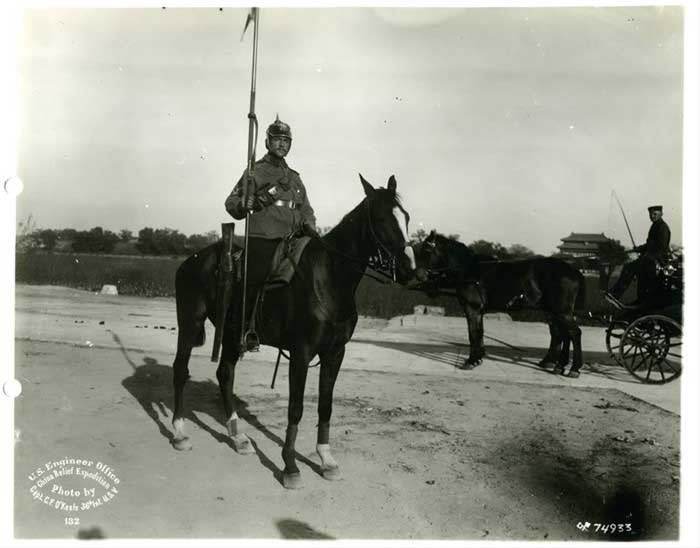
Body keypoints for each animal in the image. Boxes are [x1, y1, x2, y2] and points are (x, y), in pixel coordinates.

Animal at [416, 230, 584, 376]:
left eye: (426, 250)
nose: (418, 275)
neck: (470, 270)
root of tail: (573, 270)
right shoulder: (479, 311)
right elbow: (480, 333)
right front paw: (478, 359)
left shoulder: (472, 309)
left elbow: (473, 334)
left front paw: (471, 361)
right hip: (555, 312)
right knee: (563, 334)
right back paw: (559, 365)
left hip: (561, 312)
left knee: (574, 333)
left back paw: (574, 368)